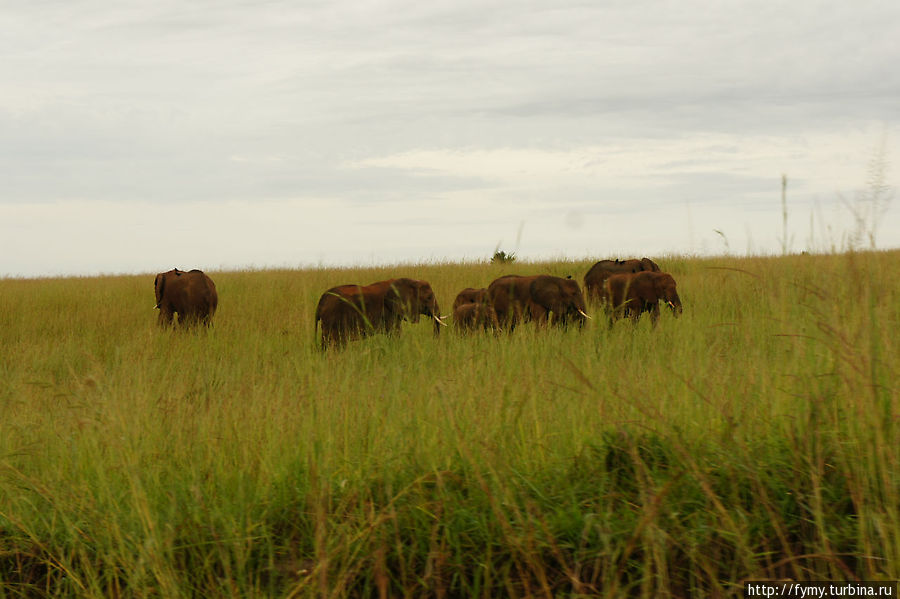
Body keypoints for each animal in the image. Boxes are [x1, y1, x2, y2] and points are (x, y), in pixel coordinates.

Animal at [312, 278, 446, 350]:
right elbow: (395, 333)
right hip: (333, 319)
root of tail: (321, 301)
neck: (410, 281)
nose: (435, 343)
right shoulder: (389, 312)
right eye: (429, 297)